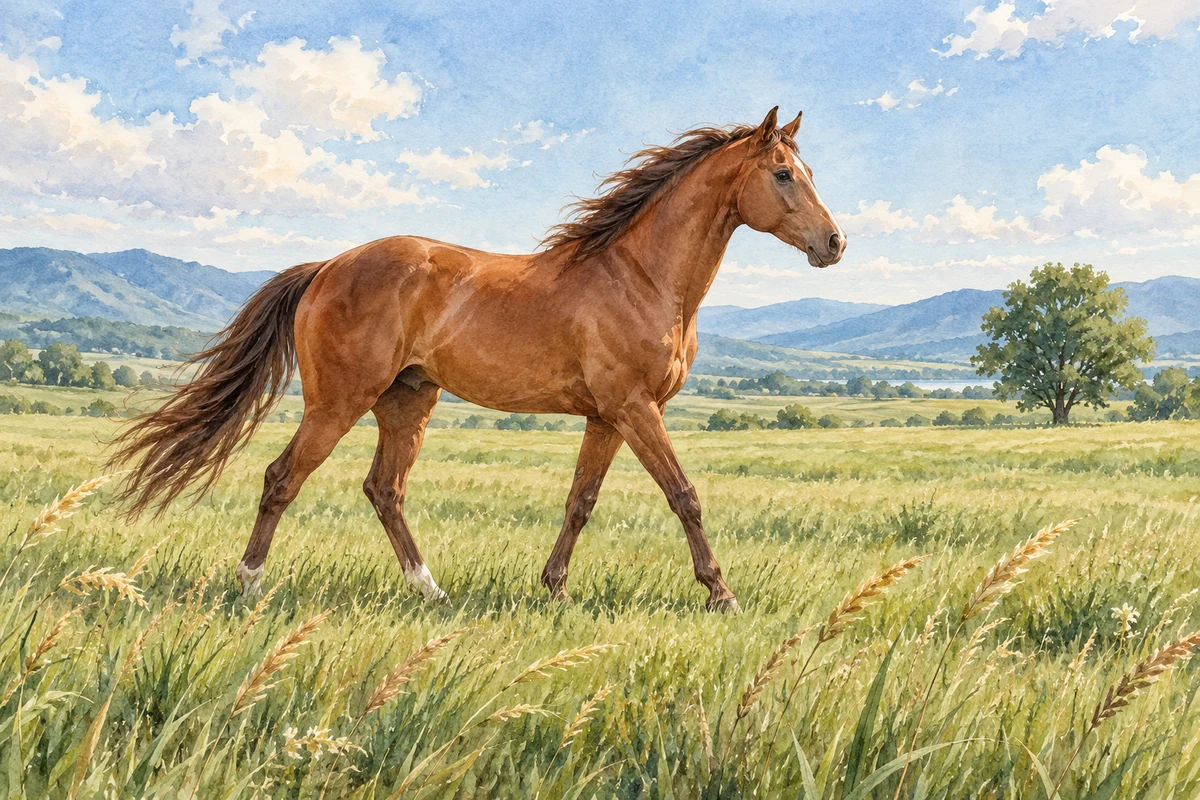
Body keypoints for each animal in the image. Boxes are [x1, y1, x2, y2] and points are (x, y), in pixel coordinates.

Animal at [110, 106, 845, 613]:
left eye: (811, 174)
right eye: (783, 174)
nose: (835, 243)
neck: (640, 277)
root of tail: (326, 268)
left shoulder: (608, 417)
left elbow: (580, 502)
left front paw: (554, 589)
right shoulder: (636, 409)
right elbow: (685, 495)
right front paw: (722, 595)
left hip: (407, 400)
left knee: (384, 490)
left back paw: (430, 590)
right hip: (339, 402)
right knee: (282, 477)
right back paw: (249, 585)